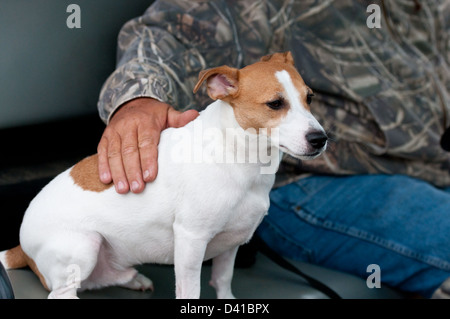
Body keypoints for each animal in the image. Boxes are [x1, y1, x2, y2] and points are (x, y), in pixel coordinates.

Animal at [0, 52, 326, 300]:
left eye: (310, 98)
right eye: (275, 103)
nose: (320, 139)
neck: (238, 156)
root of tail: (21, 248)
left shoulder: (230, 244)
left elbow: (222, 281)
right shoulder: (191, 241)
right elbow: (190, 291)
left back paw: (132, 278)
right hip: (84, 246)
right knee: (61, 292)